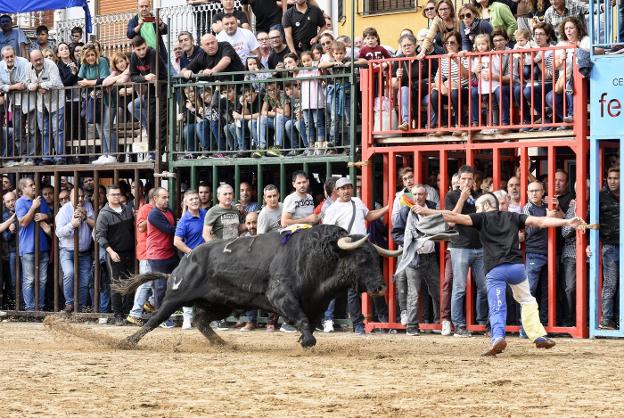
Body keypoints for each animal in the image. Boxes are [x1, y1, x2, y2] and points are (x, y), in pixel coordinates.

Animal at [113, 225, 400, 350]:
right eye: (361, 259)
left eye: (376, 258)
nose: (380, 287)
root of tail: (183, 263)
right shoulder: (281, 295)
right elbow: (301, 319)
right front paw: (307, 341)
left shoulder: (316, 302)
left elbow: (309, 319)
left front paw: (304, 338)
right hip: (176, 296)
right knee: (155, 319)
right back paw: (128, 341)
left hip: (222, 304)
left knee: (202, 321)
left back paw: (223, 343)